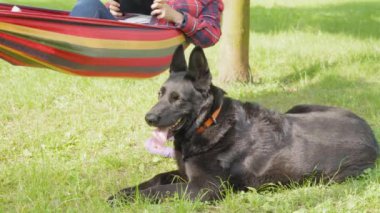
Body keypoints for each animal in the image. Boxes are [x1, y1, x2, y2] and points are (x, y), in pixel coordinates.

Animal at [108, 46, 378, 203]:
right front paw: (125, 191)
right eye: (160, 94)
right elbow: (157, 178)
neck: (209, 122)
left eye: (177, 99)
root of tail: (372, 137)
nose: (149, 118)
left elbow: (159, 191)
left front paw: (125, 199)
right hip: (298, 107)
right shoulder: (184, 174)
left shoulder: (203, 188)